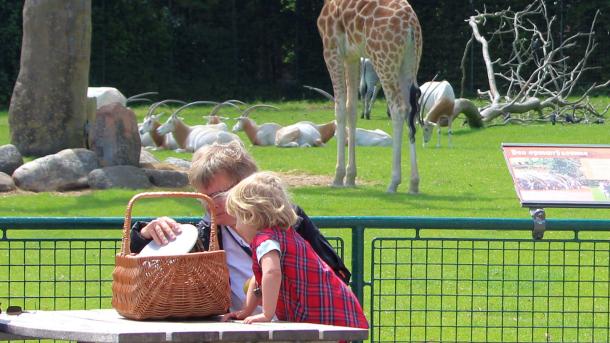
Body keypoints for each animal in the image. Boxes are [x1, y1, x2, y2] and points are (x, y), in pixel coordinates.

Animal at [316, 0, 420, 194]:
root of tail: (410, 26)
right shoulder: (352, 55)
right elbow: (351, 109)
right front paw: (350, 178)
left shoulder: (331, 47)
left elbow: (340, 109)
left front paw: (338, 177)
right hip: (410, 62)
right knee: (412, 112)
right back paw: (414, 183)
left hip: (384, 60)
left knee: (398, 109)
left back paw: (393, 182)